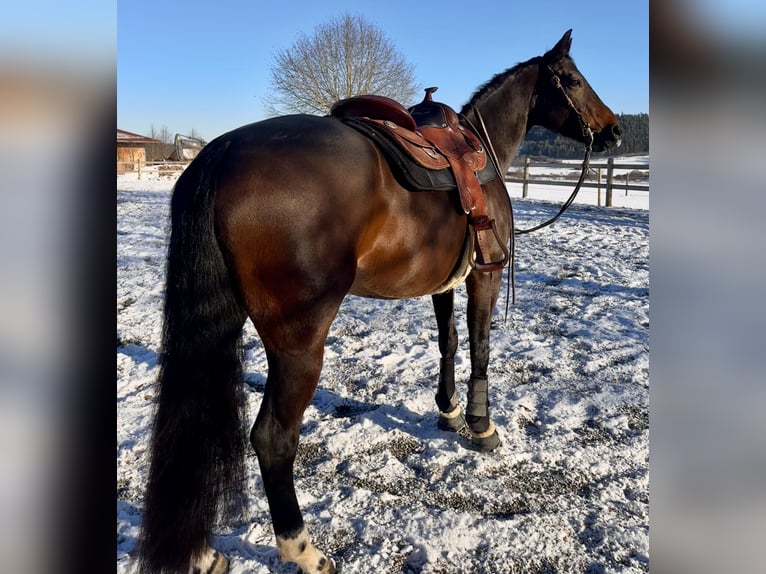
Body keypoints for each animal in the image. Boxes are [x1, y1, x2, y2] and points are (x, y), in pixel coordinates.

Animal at [138, 29, 622, 574]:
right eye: (574, 80)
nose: (614, 130)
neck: (483, 153)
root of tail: (221, 151)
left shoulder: (443, 284)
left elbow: (449, 342)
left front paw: (449, 412)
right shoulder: (486, 274)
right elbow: (480, 346)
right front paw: (481, 425)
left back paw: (202, 553)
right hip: (299, 342)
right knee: (273, 439)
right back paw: (305, 551)